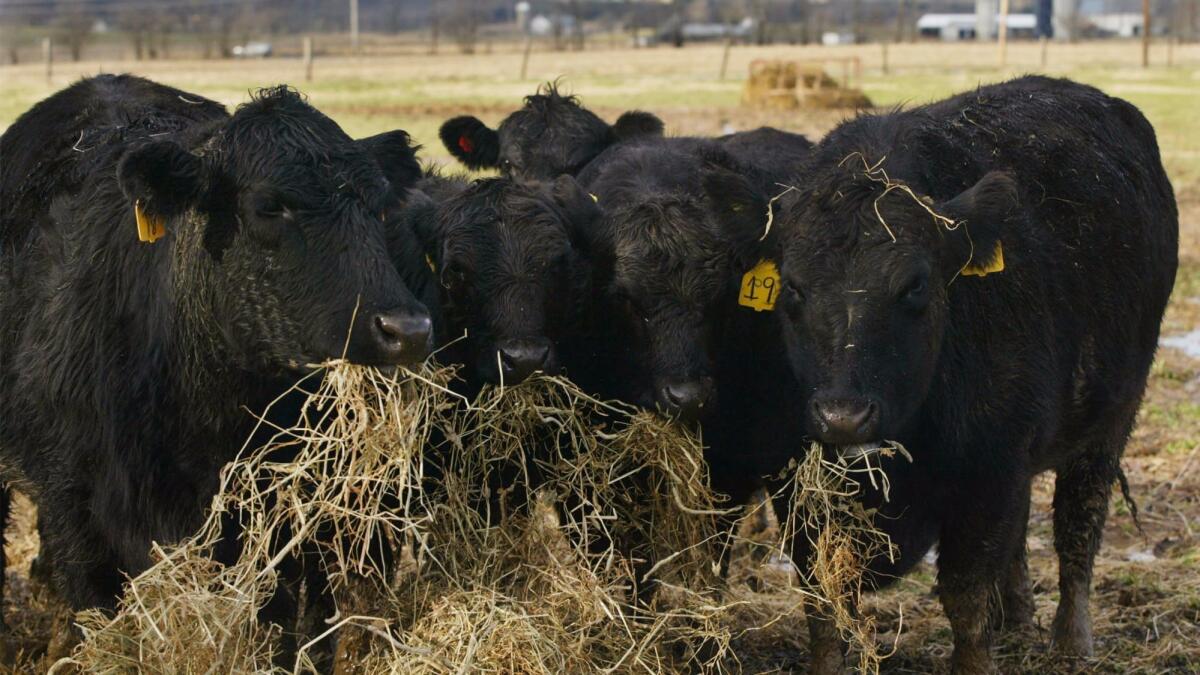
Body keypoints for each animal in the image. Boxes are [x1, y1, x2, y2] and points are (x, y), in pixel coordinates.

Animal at [772, 74, 1176, 672]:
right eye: (793, 287)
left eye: (914, 284)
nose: (843, 415)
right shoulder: (796, 488)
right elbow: (824, 602)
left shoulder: (986, 475)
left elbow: (966, 598)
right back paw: (1019, 618)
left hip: (1111, 418)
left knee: (1078, 525)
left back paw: (1070, 640)